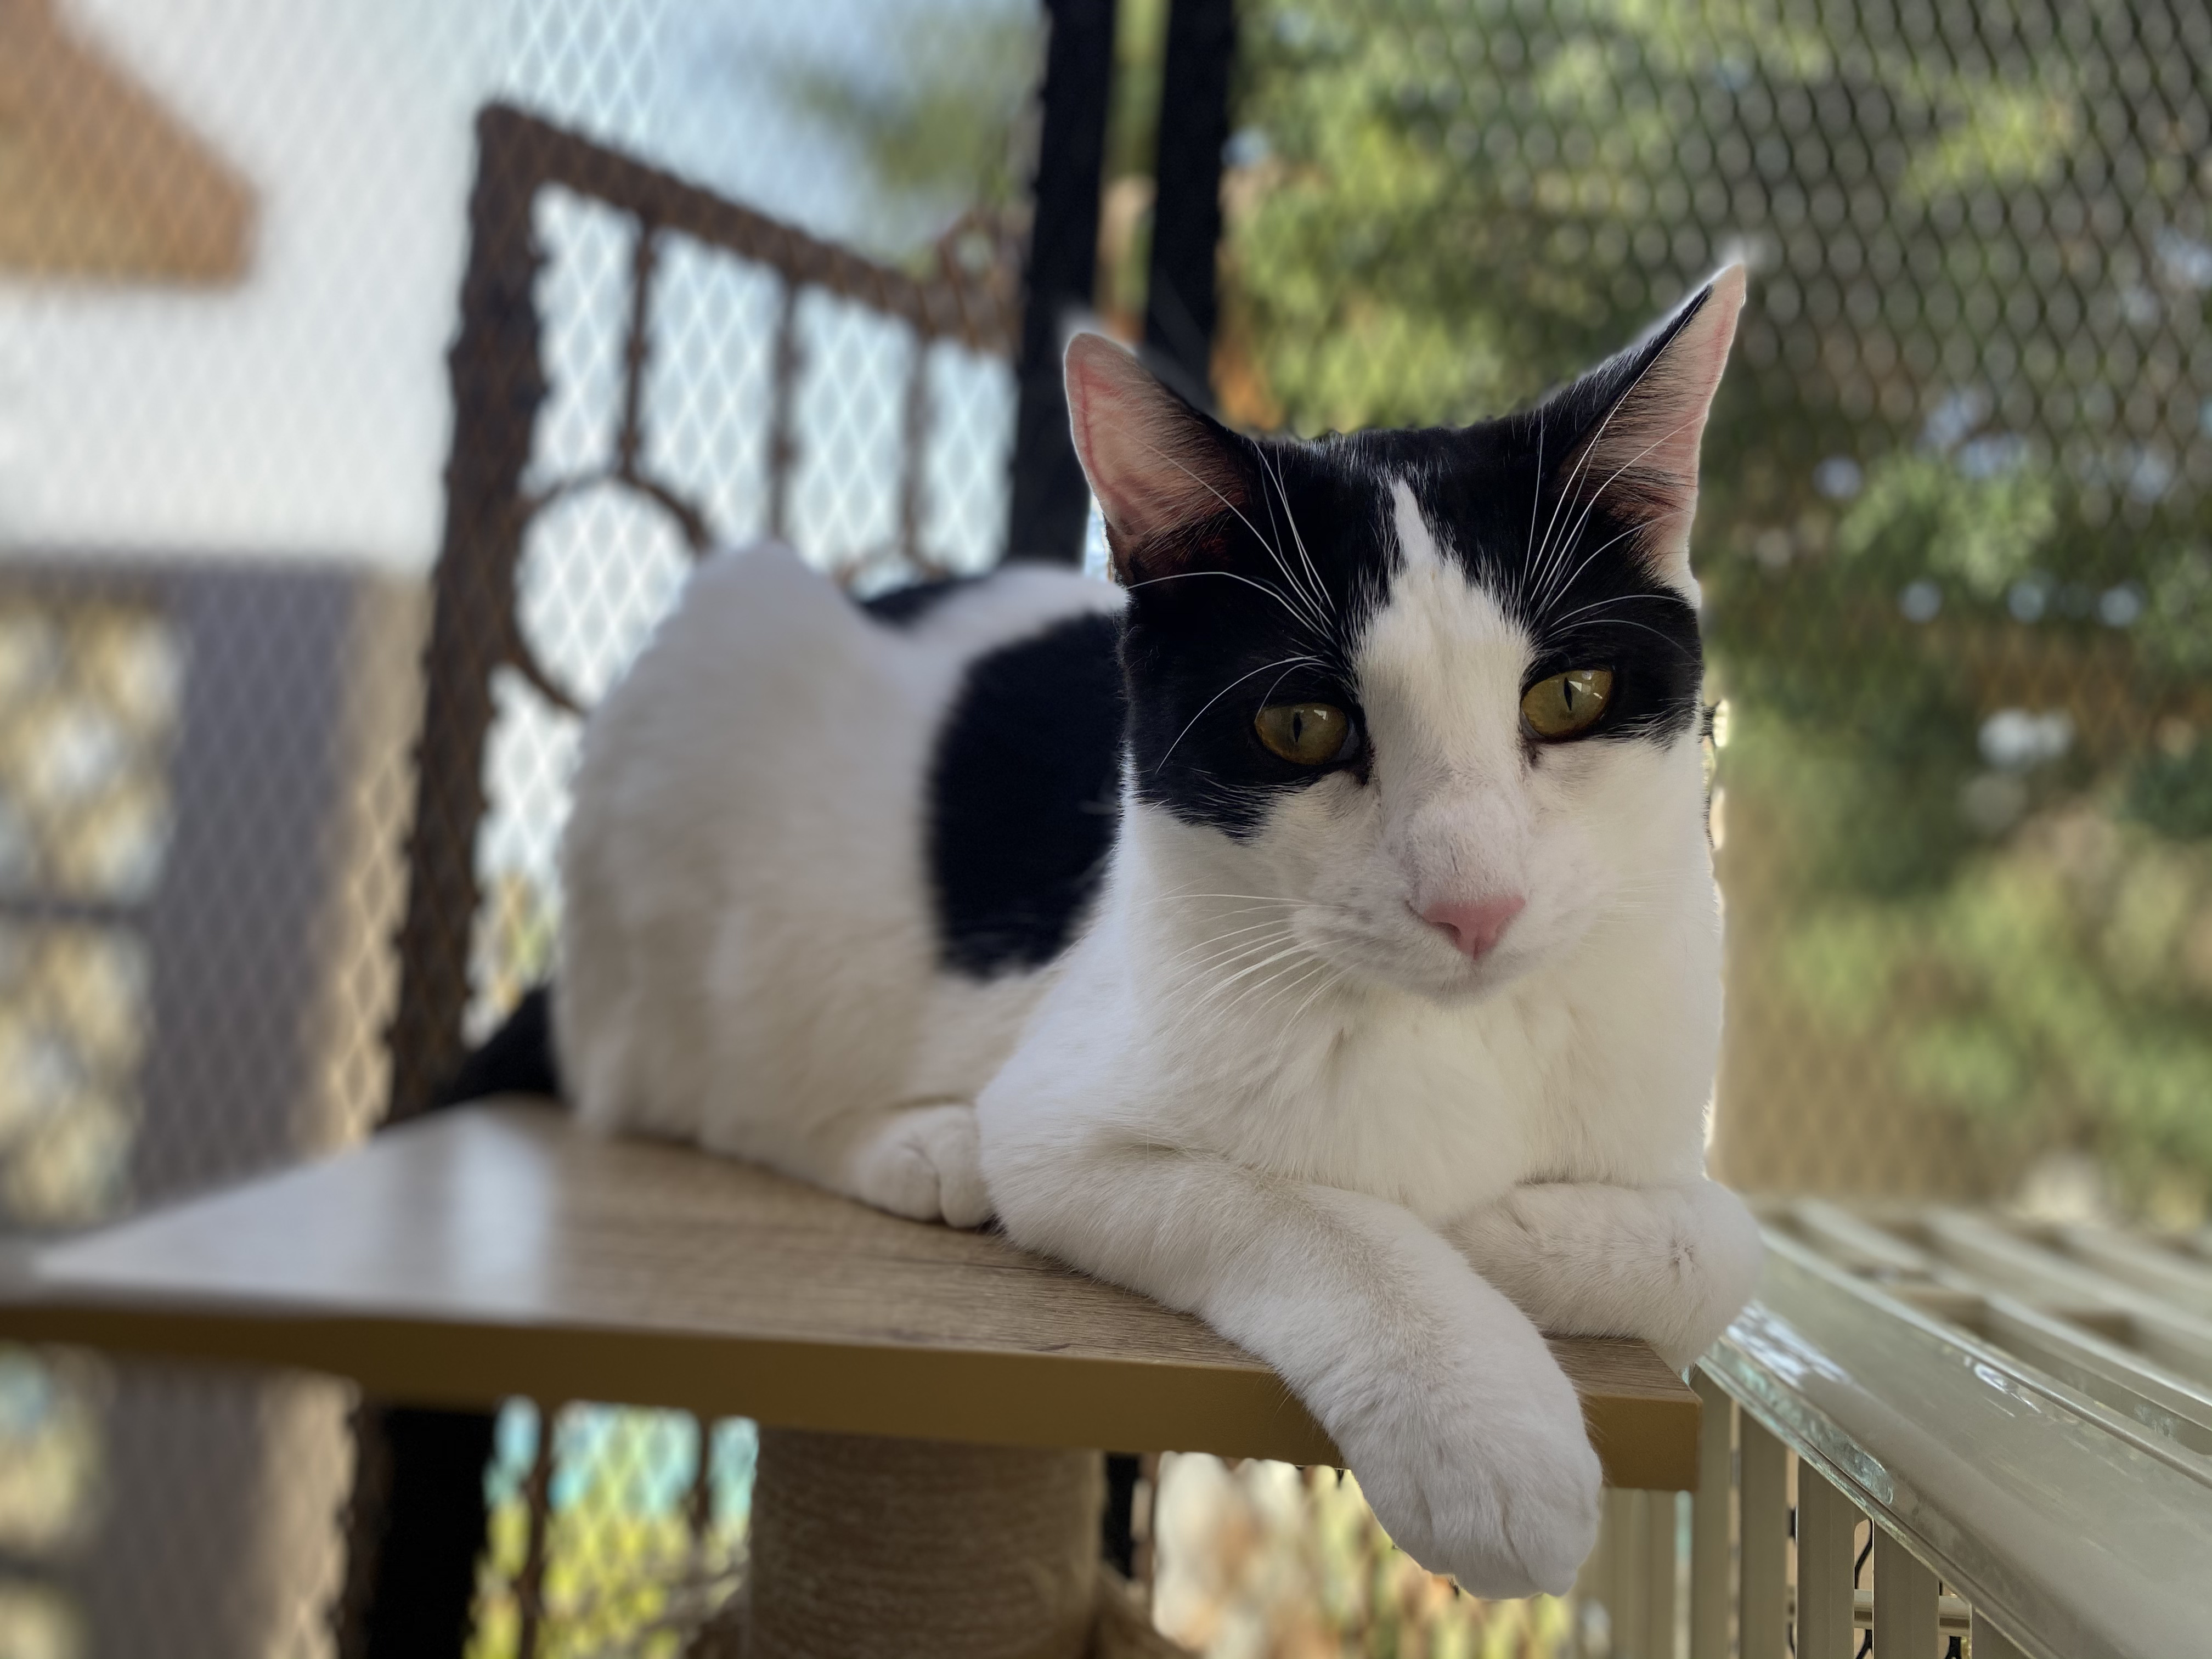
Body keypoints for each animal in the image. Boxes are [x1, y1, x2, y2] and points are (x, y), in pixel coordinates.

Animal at [553, 263, 1760, 1601]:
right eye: (1299, 724)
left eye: (1568, 695)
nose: (1474, 904)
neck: (1461, 1035)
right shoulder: (1071, 1119)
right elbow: (1303, 1210)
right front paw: (1483, 1421)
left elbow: (1725, 1250)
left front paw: (1499, 1232)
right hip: (719, 718)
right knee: (683, 1087)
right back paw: (924, 1144)